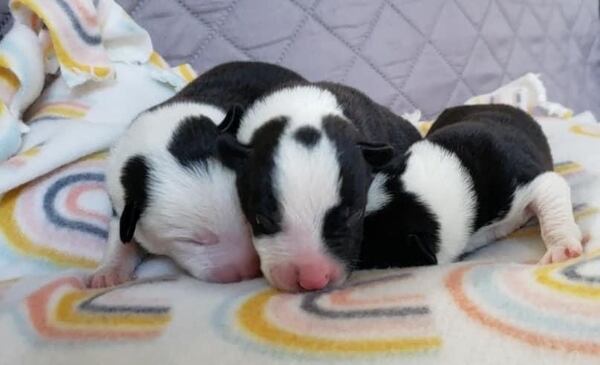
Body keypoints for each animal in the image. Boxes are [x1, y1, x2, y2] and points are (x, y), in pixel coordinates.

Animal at [89, 60, 304, 288]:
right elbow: (120, 236)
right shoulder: (120, 197)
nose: (246, 273)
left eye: (248, 220)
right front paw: (108, 272)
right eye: (191, 241)